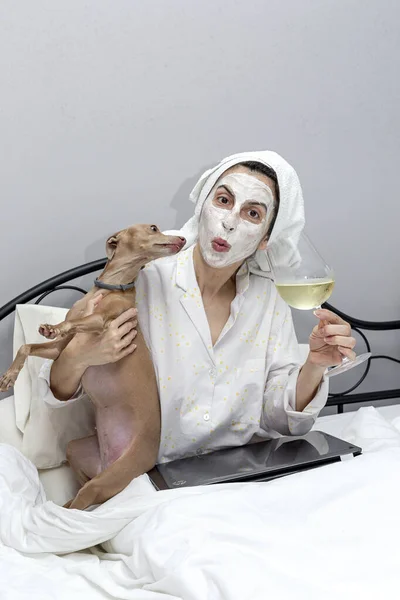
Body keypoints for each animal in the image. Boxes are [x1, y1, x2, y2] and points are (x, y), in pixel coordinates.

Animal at [0, 227, 186, 508]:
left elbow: (77, 322)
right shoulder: (62, 350)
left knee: (82, 503)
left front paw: (54, 326)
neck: (113, 286)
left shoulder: (102, 321)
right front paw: (9, 376)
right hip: (76, 451)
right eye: (154, 228)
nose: (183, 239)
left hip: (108, 479)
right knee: (77, 497)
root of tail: (107, 464)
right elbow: (26, 347)